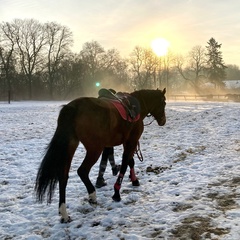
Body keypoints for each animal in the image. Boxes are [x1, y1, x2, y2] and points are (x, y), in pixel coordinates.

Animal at [35, 88, 167, 223]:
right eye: (164, 103)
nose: (163, 121)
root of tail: (73, 107)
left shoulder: (128, 142)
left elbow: (130, 161)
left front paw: (134, 180)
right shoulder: (132, 141)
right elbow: (125, 163)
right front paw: (117, 192)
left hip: (71, 145)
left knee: (63, 177)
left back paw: (64, 212)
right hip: (95, 149)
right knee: (82, 171)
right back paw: (92, 195)